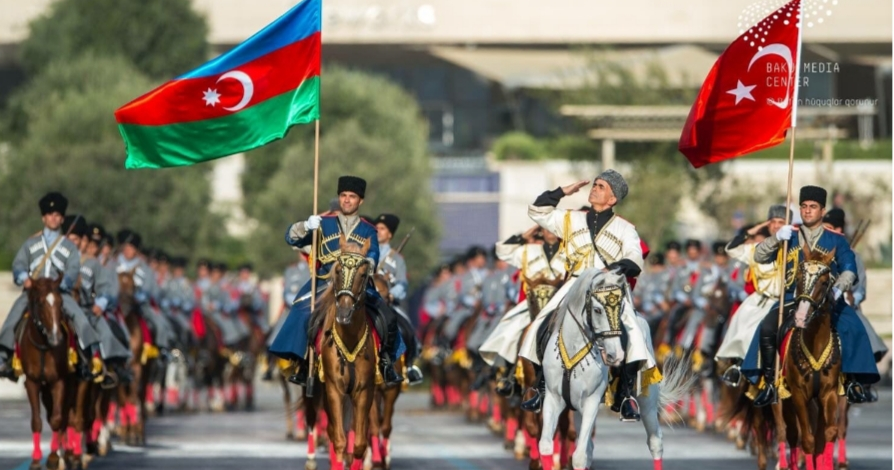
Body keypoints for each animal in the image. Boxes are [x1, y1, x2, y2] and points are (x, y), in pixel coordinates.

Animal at [540, 268, 692, 470]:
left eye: (620, 309)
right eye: (597, 310)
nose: (616, 355)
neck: (573, 351)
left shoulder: (591, 401)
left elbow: (579, 455)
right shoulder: (553, 398)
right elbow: (546, 446)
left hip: (647, 400)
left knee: (655, 442)